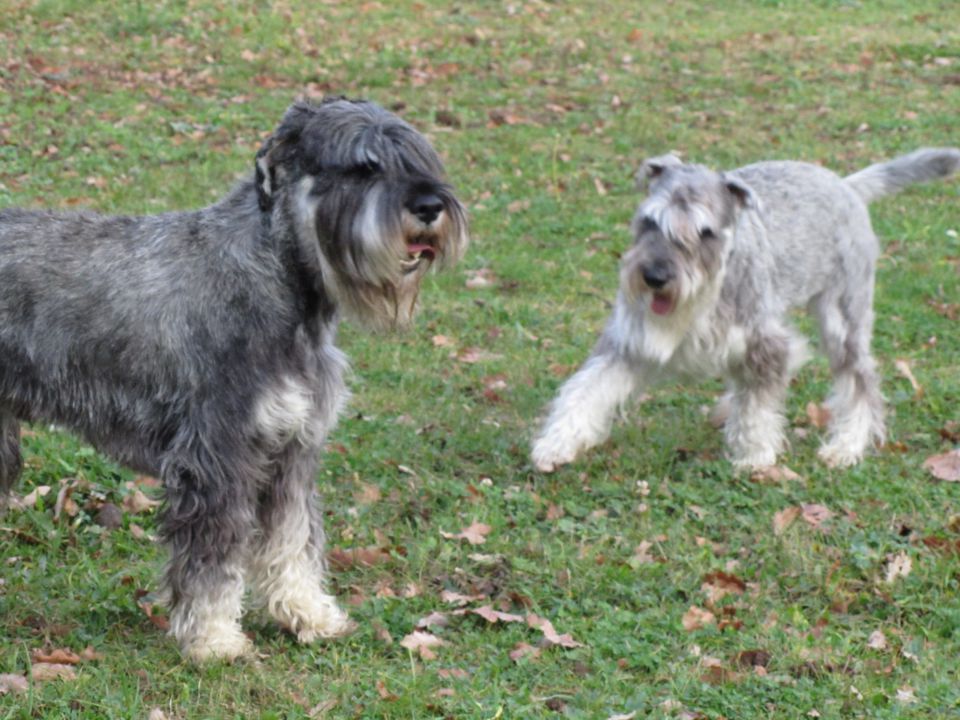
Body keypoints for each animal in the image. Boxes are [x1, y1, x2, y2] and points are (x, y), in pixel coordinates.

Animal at [0, 98, 466, 660]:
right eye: (361, 167)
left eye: (420, 159)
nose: (430, 206)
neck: (277, 278)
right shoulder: (217, 454)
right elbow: (213, 558)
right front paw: (214, 639)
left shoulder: (291, 449)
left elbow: (293, 541)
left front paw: (308, 614)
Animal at [532, 147, 960, 472]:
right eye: (649, 221)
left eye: (704, 232)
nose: (655, 276)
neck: (706, 291)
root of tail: (844, 185)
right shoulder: (627, 343)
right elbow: (584, 390)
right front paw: (555, 444)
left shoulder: (764, 343)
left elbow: (757, 405)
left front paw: (754, 455)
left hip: (843, 320)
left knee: (860, 381)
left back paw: (846, 446)